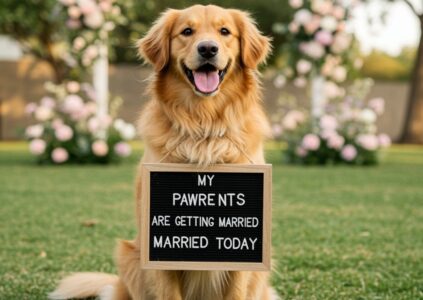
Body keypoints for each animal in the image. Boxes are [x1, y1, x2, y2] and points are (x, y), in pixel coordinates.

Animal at [49, 4, 276, 300]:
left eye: (225, 31)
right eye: (187, 31)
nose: (207, 49)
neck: (204, 125)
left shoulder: (245, 259)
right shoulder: (157, 252)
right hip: (129, 255)